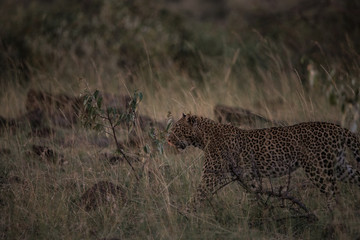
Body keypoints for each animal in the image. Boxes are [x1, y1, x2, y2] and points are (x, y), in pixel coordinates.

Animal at [167, 113, 360, 209]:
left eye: (176, 129)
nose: (167, 139)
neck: (202, 137)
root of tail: (336, 127)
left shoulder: (211, 175)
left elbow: (198, 194)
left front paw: (187, 215)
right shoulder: (247, 175)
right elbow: (253, 194)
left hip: (318, 168)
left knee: (333, 192)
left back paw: (332, 218)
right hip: (340, 167)